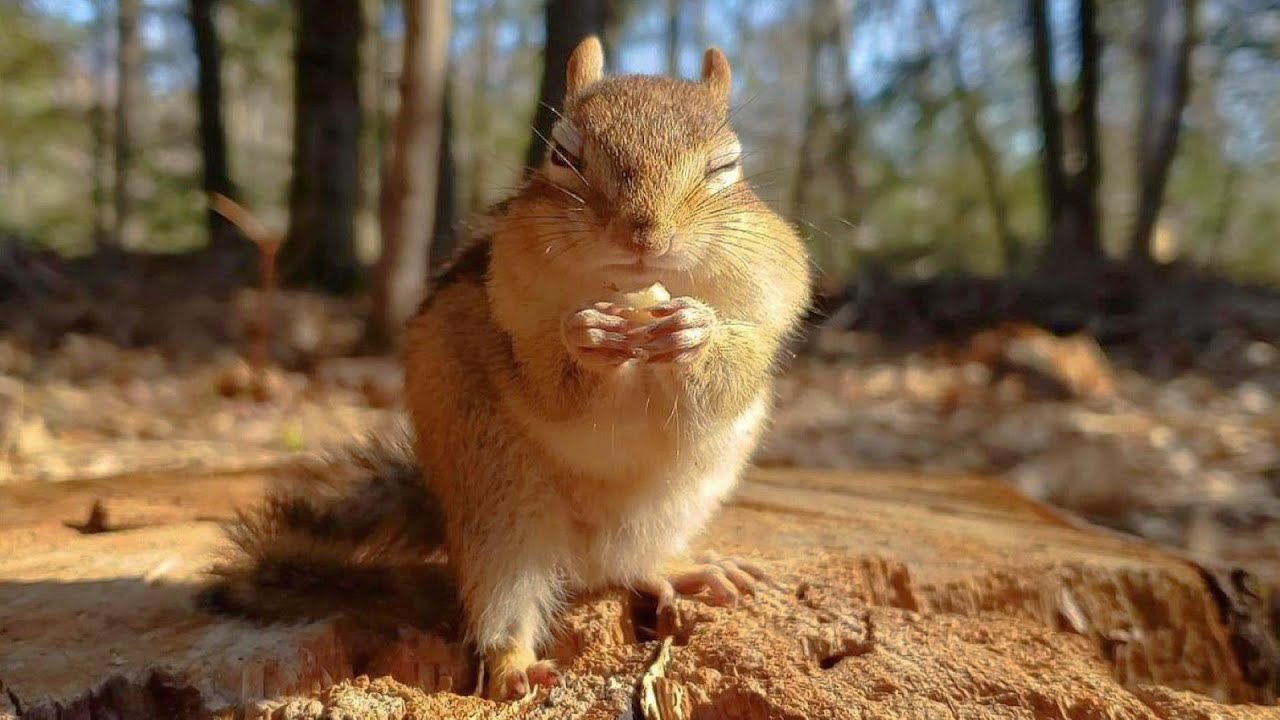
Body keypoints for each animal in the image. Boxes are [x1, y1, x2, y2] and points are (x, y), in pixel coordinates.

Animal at [200, 36, 813, 701]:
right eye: (563, 155)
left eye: (727, 166)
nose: (642, 234)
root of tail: (586, 549)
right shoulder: (507, 312)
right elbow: (547, 385)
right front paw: (585, 339)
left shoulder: (768, 305)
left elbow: (735, 372)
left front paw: (695, 334)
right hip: (499, 507)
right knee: (506, 599)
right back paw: (514, 666)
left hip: (679, 501)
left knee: (633, 565)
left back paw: (685, 569)